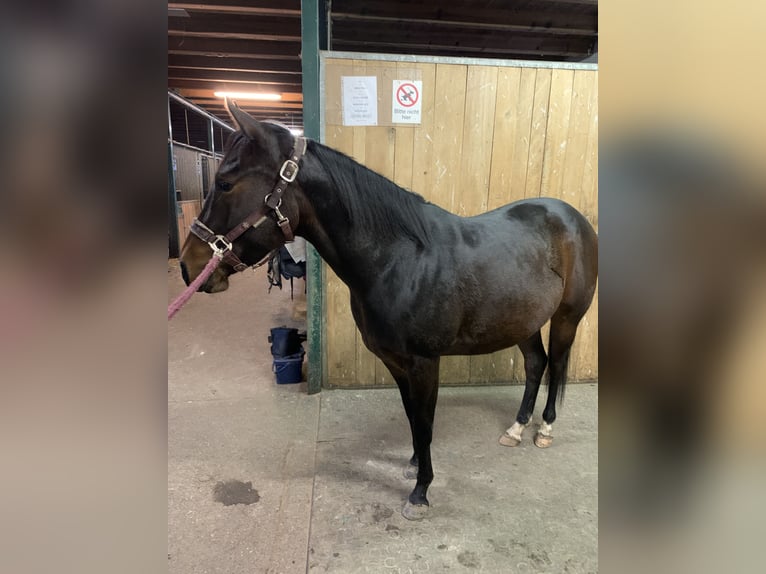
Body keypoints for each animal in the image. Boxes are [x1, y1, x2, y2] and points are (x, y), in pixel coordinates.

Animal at [179, 102, 598, 520]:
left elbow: (425, 422)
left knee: (556, 364)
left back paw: (544, 430)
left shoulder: (425, 362)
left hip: (566, 318)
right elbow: (412, 415)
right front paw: (413, 463)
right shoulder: (394, 361)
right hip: (524, 320)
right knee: (535, 364)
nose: (188, 265)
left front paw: (420, 492)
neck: (398, 261)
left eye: (225, 183)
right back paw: (515, 429)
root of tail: (574, 219)